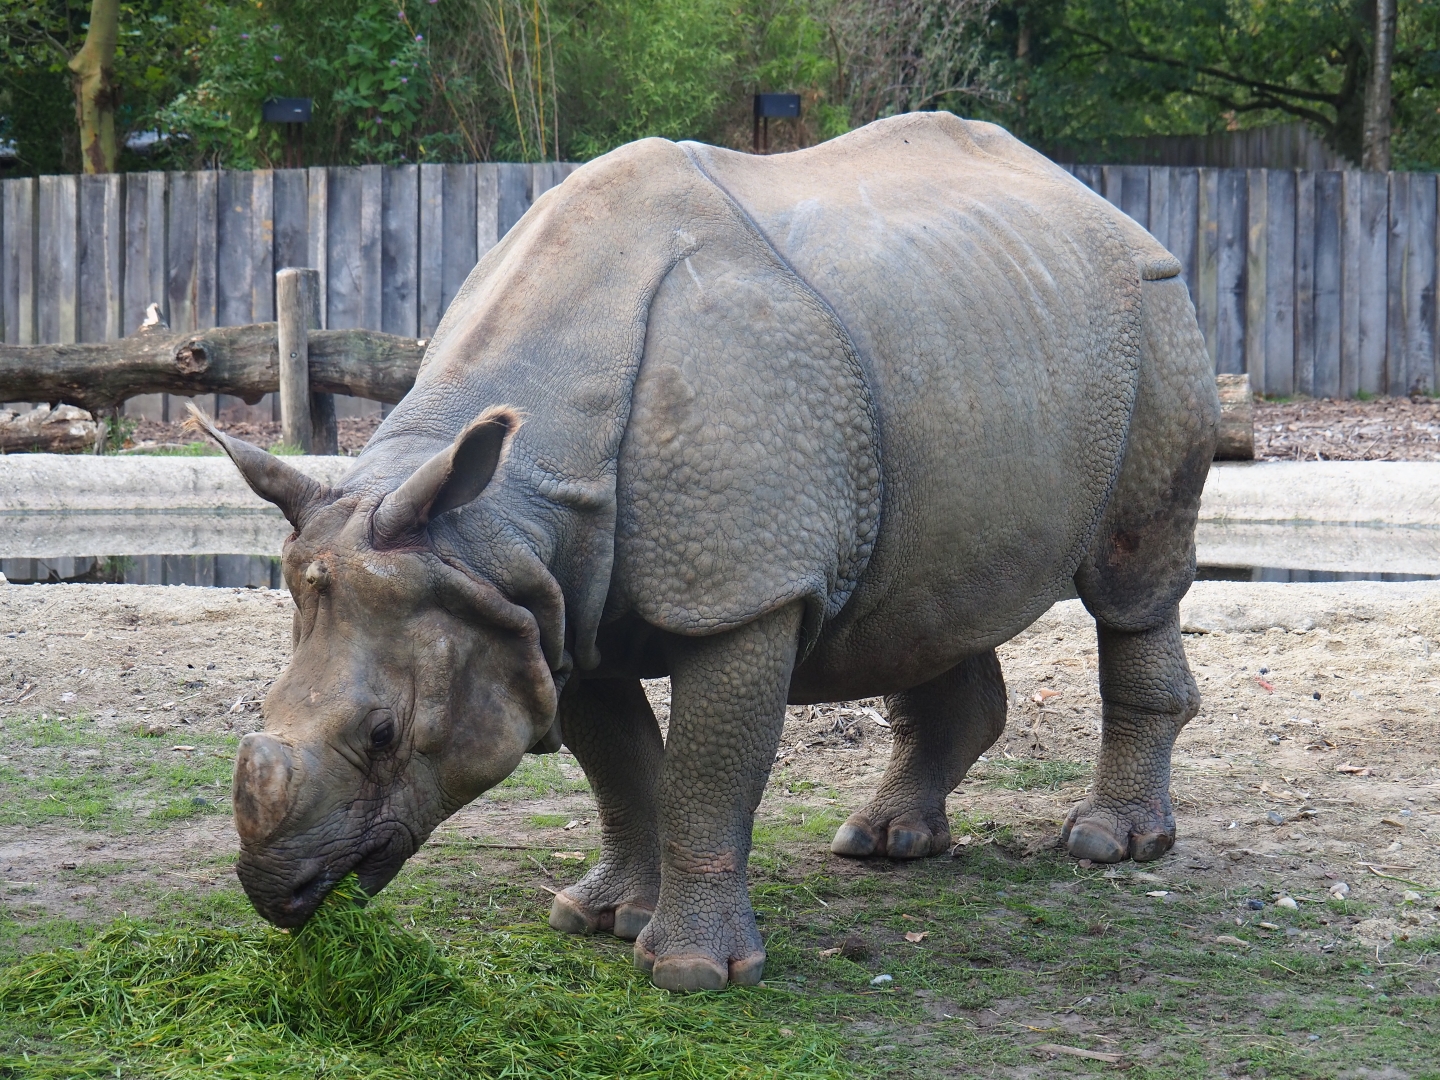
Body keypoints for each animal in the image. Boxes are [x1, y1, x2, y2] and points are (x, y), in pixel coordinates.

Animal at [203, 112, 1218, 992]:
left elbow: (706, 771)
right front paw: (598, 918)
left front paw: (692, 973)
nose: (278, 895)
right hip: (973, 344)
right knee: (927, 603)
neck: (495, 512)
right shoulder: (543, 596)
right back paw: (883, 842)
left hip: (1155, 311)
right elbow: (621, 766)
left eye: (382, 735)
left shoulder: (742, 589)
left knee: (1131, 580)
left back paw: (1108, 845)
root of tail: (1096, 200)